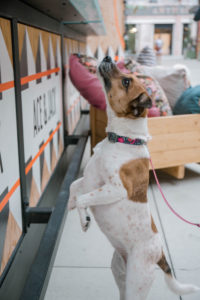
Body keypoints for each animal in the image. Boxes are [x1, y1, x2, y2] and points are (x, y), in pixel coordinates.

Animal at [67, 56, 200, 300]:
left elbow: (83, 199)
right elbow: (74, 187)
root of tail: (160, 255)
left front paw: (84, 220)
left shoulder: (115, 189)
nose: (108, 57)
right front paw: (71, 204)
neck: (122, 139)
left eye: (126, 81)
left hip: (136, 284)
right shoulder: (90, 180)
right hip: (120, 276)